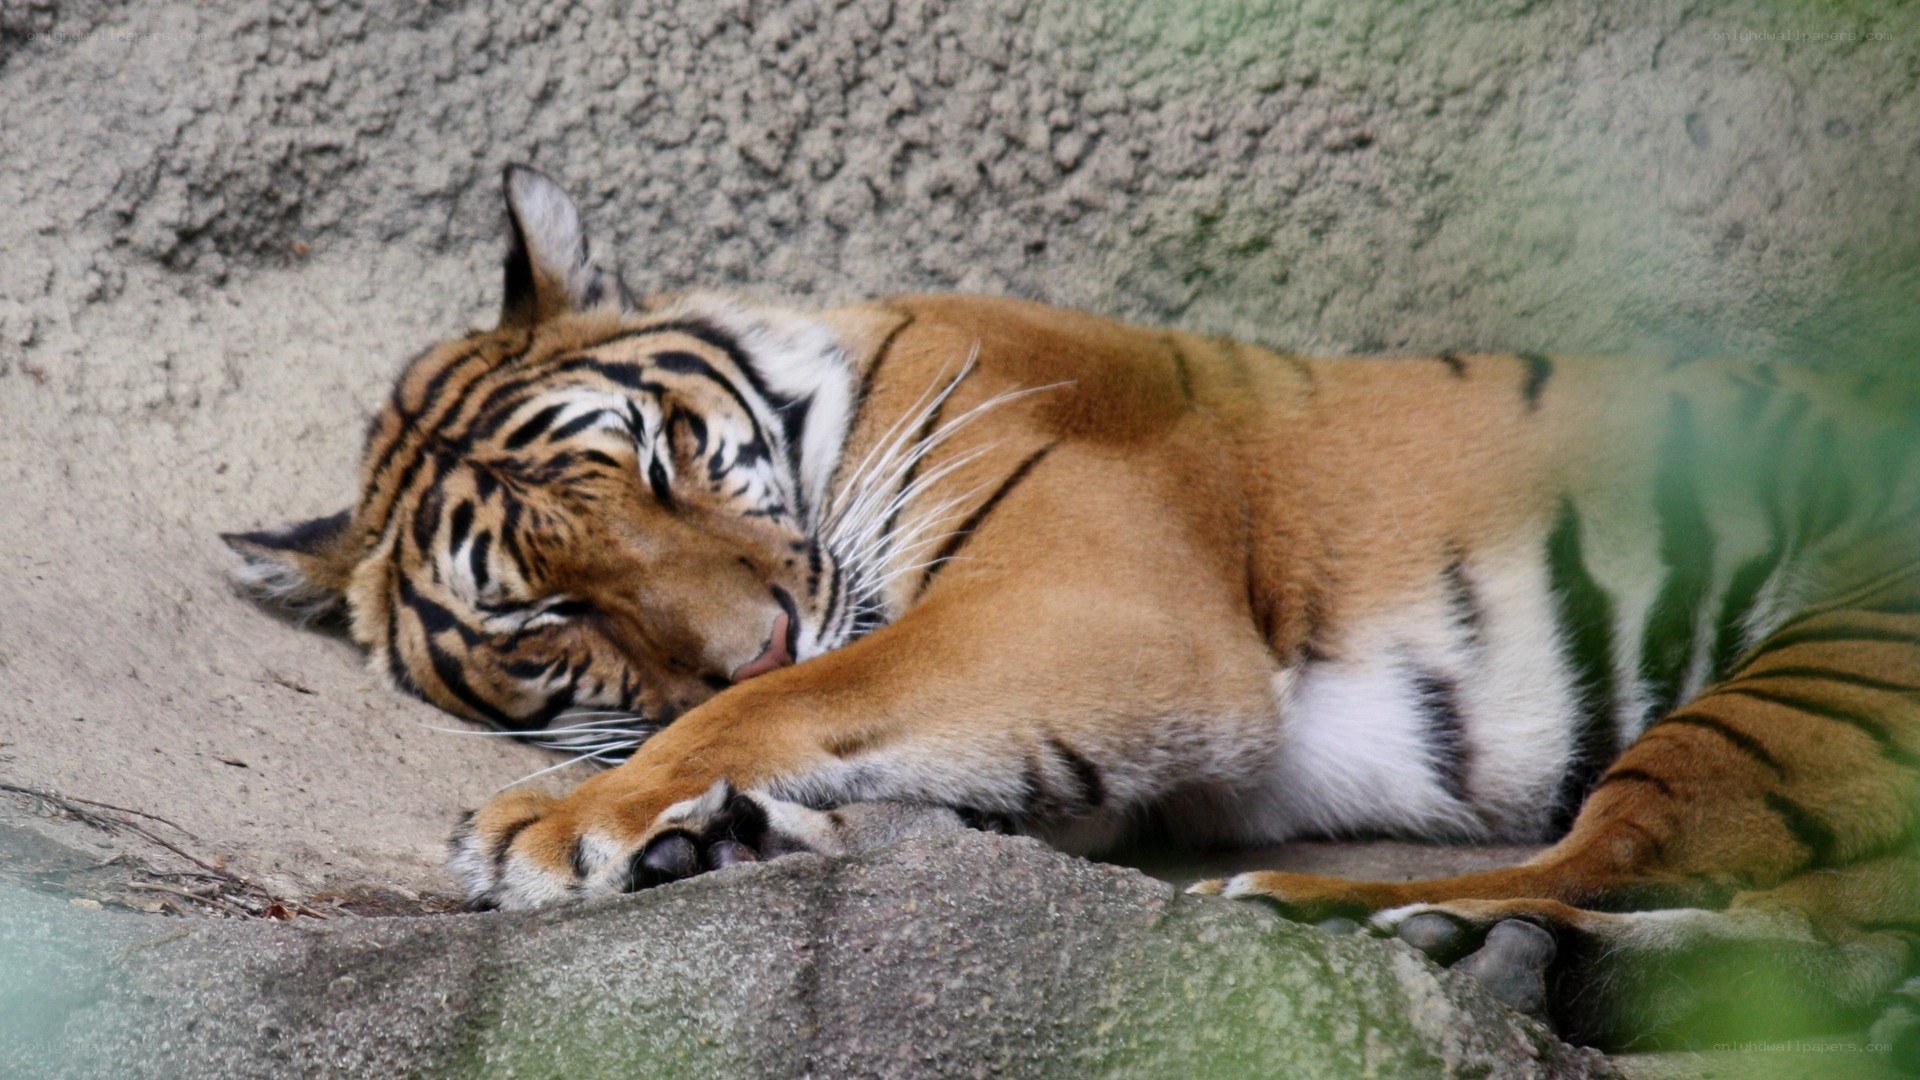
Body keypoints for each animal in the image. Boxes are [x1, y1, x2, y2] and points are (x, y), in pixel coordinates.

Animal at [227, 164, 1920, 1055]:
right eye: (544, 621)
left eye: (661, 461)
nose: (754, 628)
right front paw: (710, 836)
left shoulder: (1105, 604)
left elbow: (802, 697)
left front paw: (565, 824)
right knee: (1827, 940)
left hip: (1825, 667)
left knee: (1627, 862)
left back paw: (1388, 929)